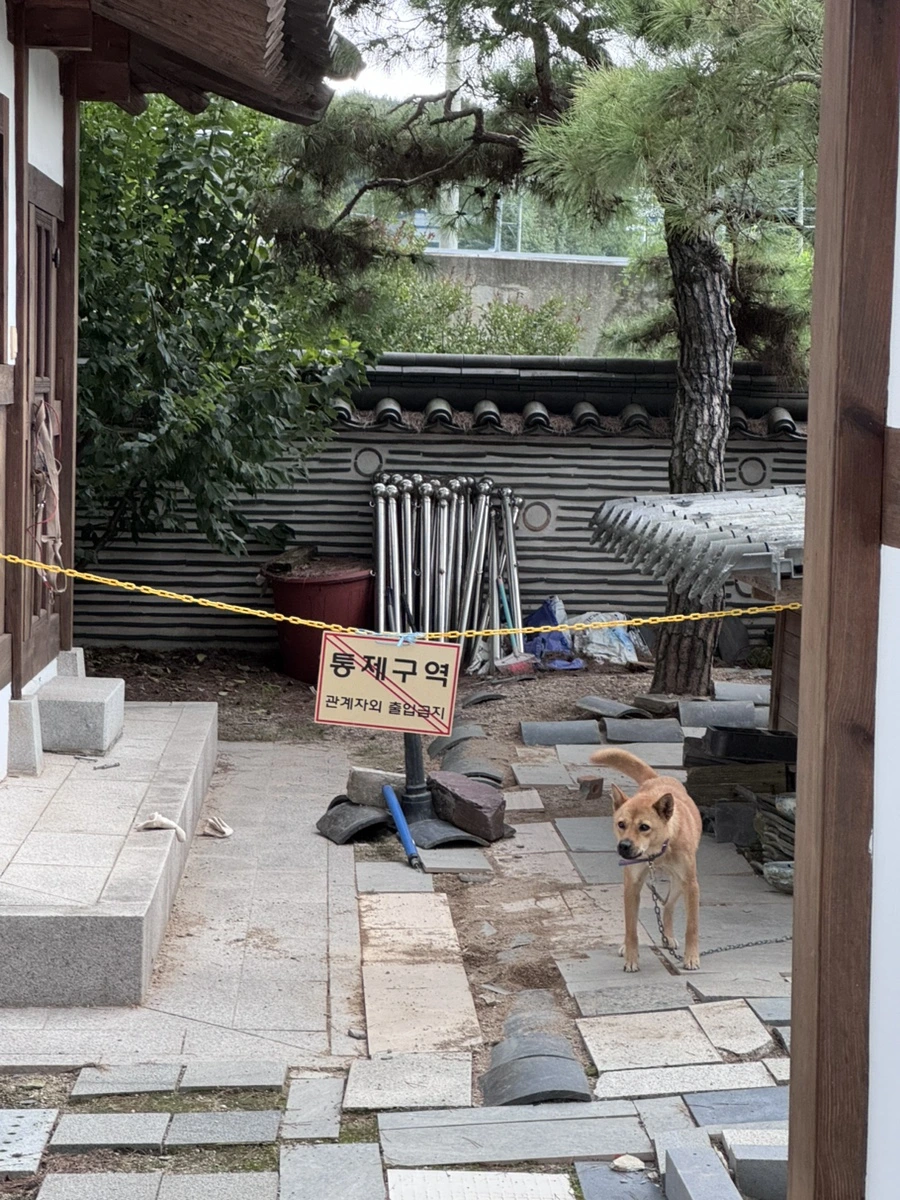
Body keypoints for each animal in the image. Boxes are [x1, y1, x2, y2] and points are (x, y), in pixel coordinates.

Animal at [590, 748, 703, 971]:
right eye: (621, 824)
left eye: (644, 827)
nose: (623, 846)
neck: (656, 852)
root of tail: (657, 779)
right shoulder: (632, 886)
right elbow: (631, 929)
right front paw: (631, 958)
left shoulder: (691, 885)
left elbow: (691, 928)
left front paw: (691, 957)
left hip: (678, 883)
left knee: (667, 906)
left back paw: (668, 936)